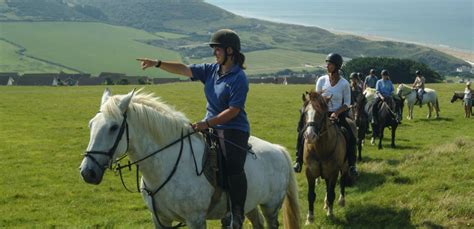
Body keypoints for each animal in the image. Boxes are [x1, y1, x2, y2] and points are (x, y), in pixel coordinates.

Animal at [79, 88, 298, 228]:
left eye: (113, 127)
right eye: (91, 124)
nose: (87, 172)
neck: (166, 166)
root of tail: (278, 149)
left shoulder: (195, 219)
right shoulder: (161, 220)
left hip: (271, 207)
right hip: (249, 204)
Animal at [302, 91, 350, 224]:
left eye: (320, 113)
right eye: (305, 112)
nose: (309, 136)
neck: (320, 150)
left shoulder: (334, 172)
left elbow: (331, 193)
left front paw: (330, 214)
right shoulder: (310, 172)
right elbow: (311, 195)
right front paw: (310, 218)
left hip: (345, 166)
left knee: (342, 181)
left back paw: (341, 201)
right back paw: (326, 203)